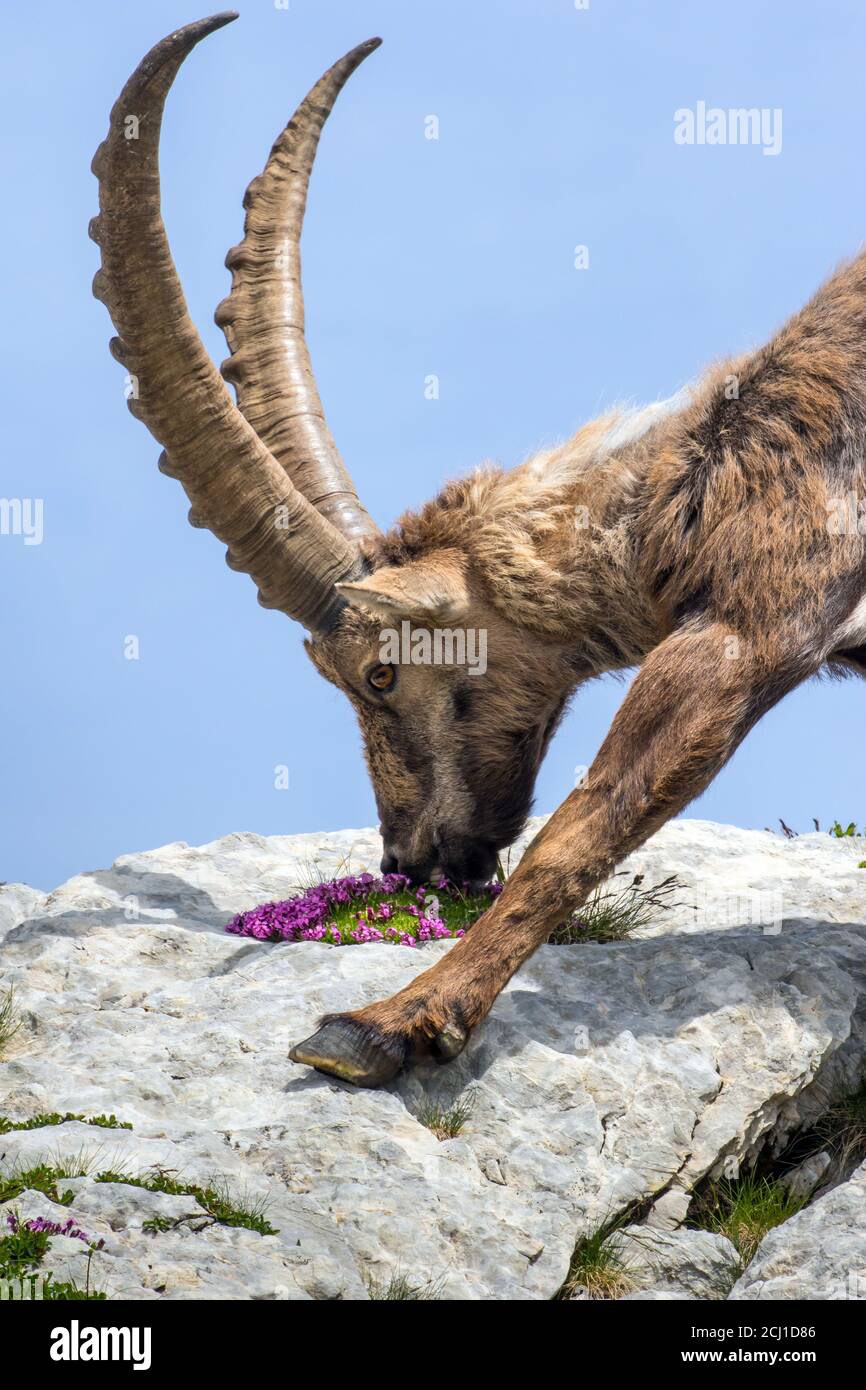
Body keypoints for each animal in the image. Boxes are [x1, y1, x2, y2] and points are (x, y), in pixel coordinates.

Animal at [92, 14, 866, 1087]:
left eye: (377, 673)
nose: (408, 862)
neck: (707, 469)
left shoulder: (754, 622)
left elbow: (584, 824)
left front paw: (382, 1024)